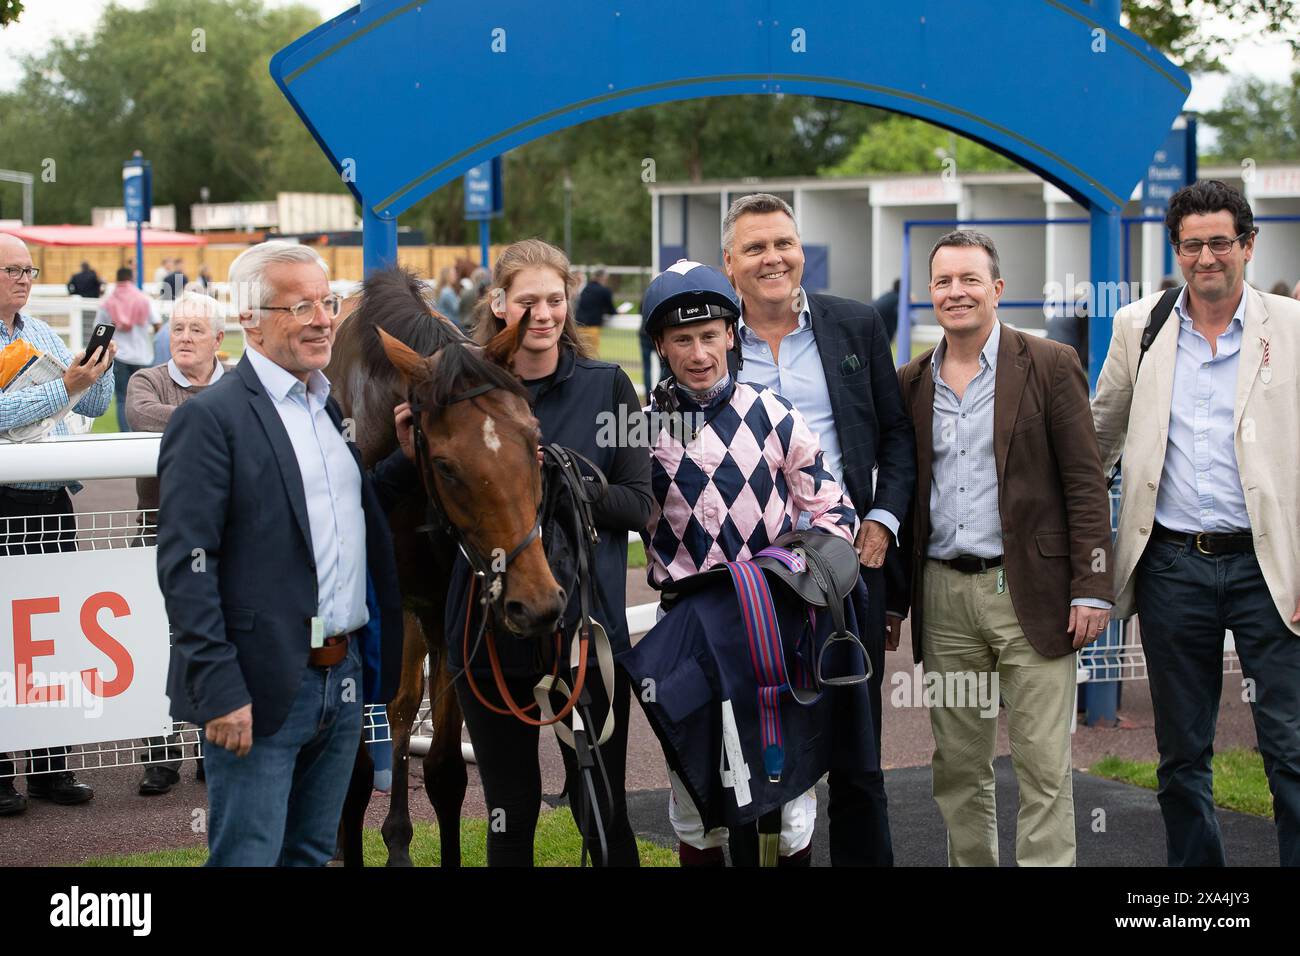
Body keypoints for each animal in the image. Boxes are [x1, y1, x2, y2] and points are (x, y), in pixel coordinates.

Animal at [327, 267, 561, 868]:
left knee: (404, 705)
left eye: (534, 439)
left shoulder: (444, 612)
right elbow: (353, 779)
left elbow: (446, 772)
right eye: (446, 466)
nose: (537, 602)